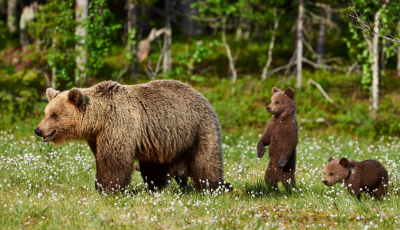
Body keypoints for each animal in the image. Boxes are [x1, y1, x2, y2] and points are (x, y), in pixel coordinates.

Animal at [34, 80, 225, 192]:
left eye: (54, 115)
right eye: (45, 113)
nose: (38, 130)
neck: (100, 119)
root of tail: (202, 96)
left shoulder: (119, 124)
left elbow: (114, 159)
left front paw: (107, 188)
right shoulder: (97, 136)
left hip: (199, 128)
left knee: (205, 161)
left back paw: (213, 187)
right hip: (160, 140)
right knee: (154, 166)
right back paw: (156, 187)